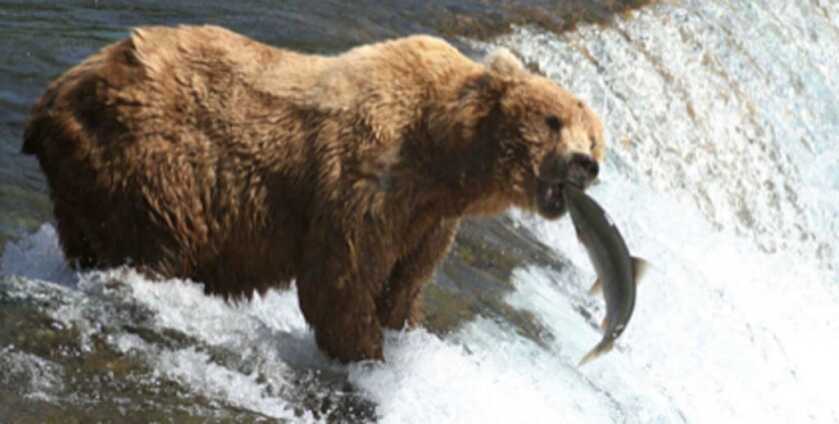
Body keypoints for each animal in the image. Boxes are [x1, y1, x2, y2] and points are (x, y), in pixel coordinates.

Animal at [22, 25, 604, 362]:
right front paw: (367, 353)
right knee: (156, 239)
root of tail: (52, 96)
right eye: (553, 120)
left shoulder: (429, 219)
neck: (445, 151)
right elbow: (340, 279)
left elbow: (405, 283)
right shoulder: (370, 177)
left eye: (594, 134)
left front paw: (400, 331)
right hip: (149, 156)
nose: (585, 164)